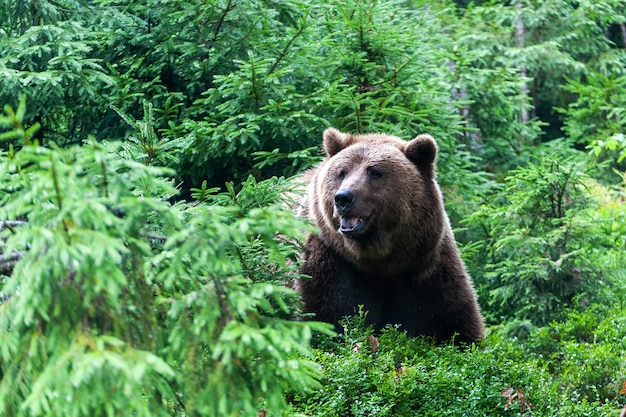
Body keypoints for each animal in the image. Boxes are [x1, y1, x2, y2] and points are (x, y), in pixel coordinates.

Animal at [294, 127, 486, 344]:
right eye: (342, 172)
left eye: (374, 172)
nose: (343, 198)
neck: (381, 260)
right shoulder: (331, 261)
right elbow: (323, 315)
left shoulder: (426, 267)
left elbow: (454, 323)